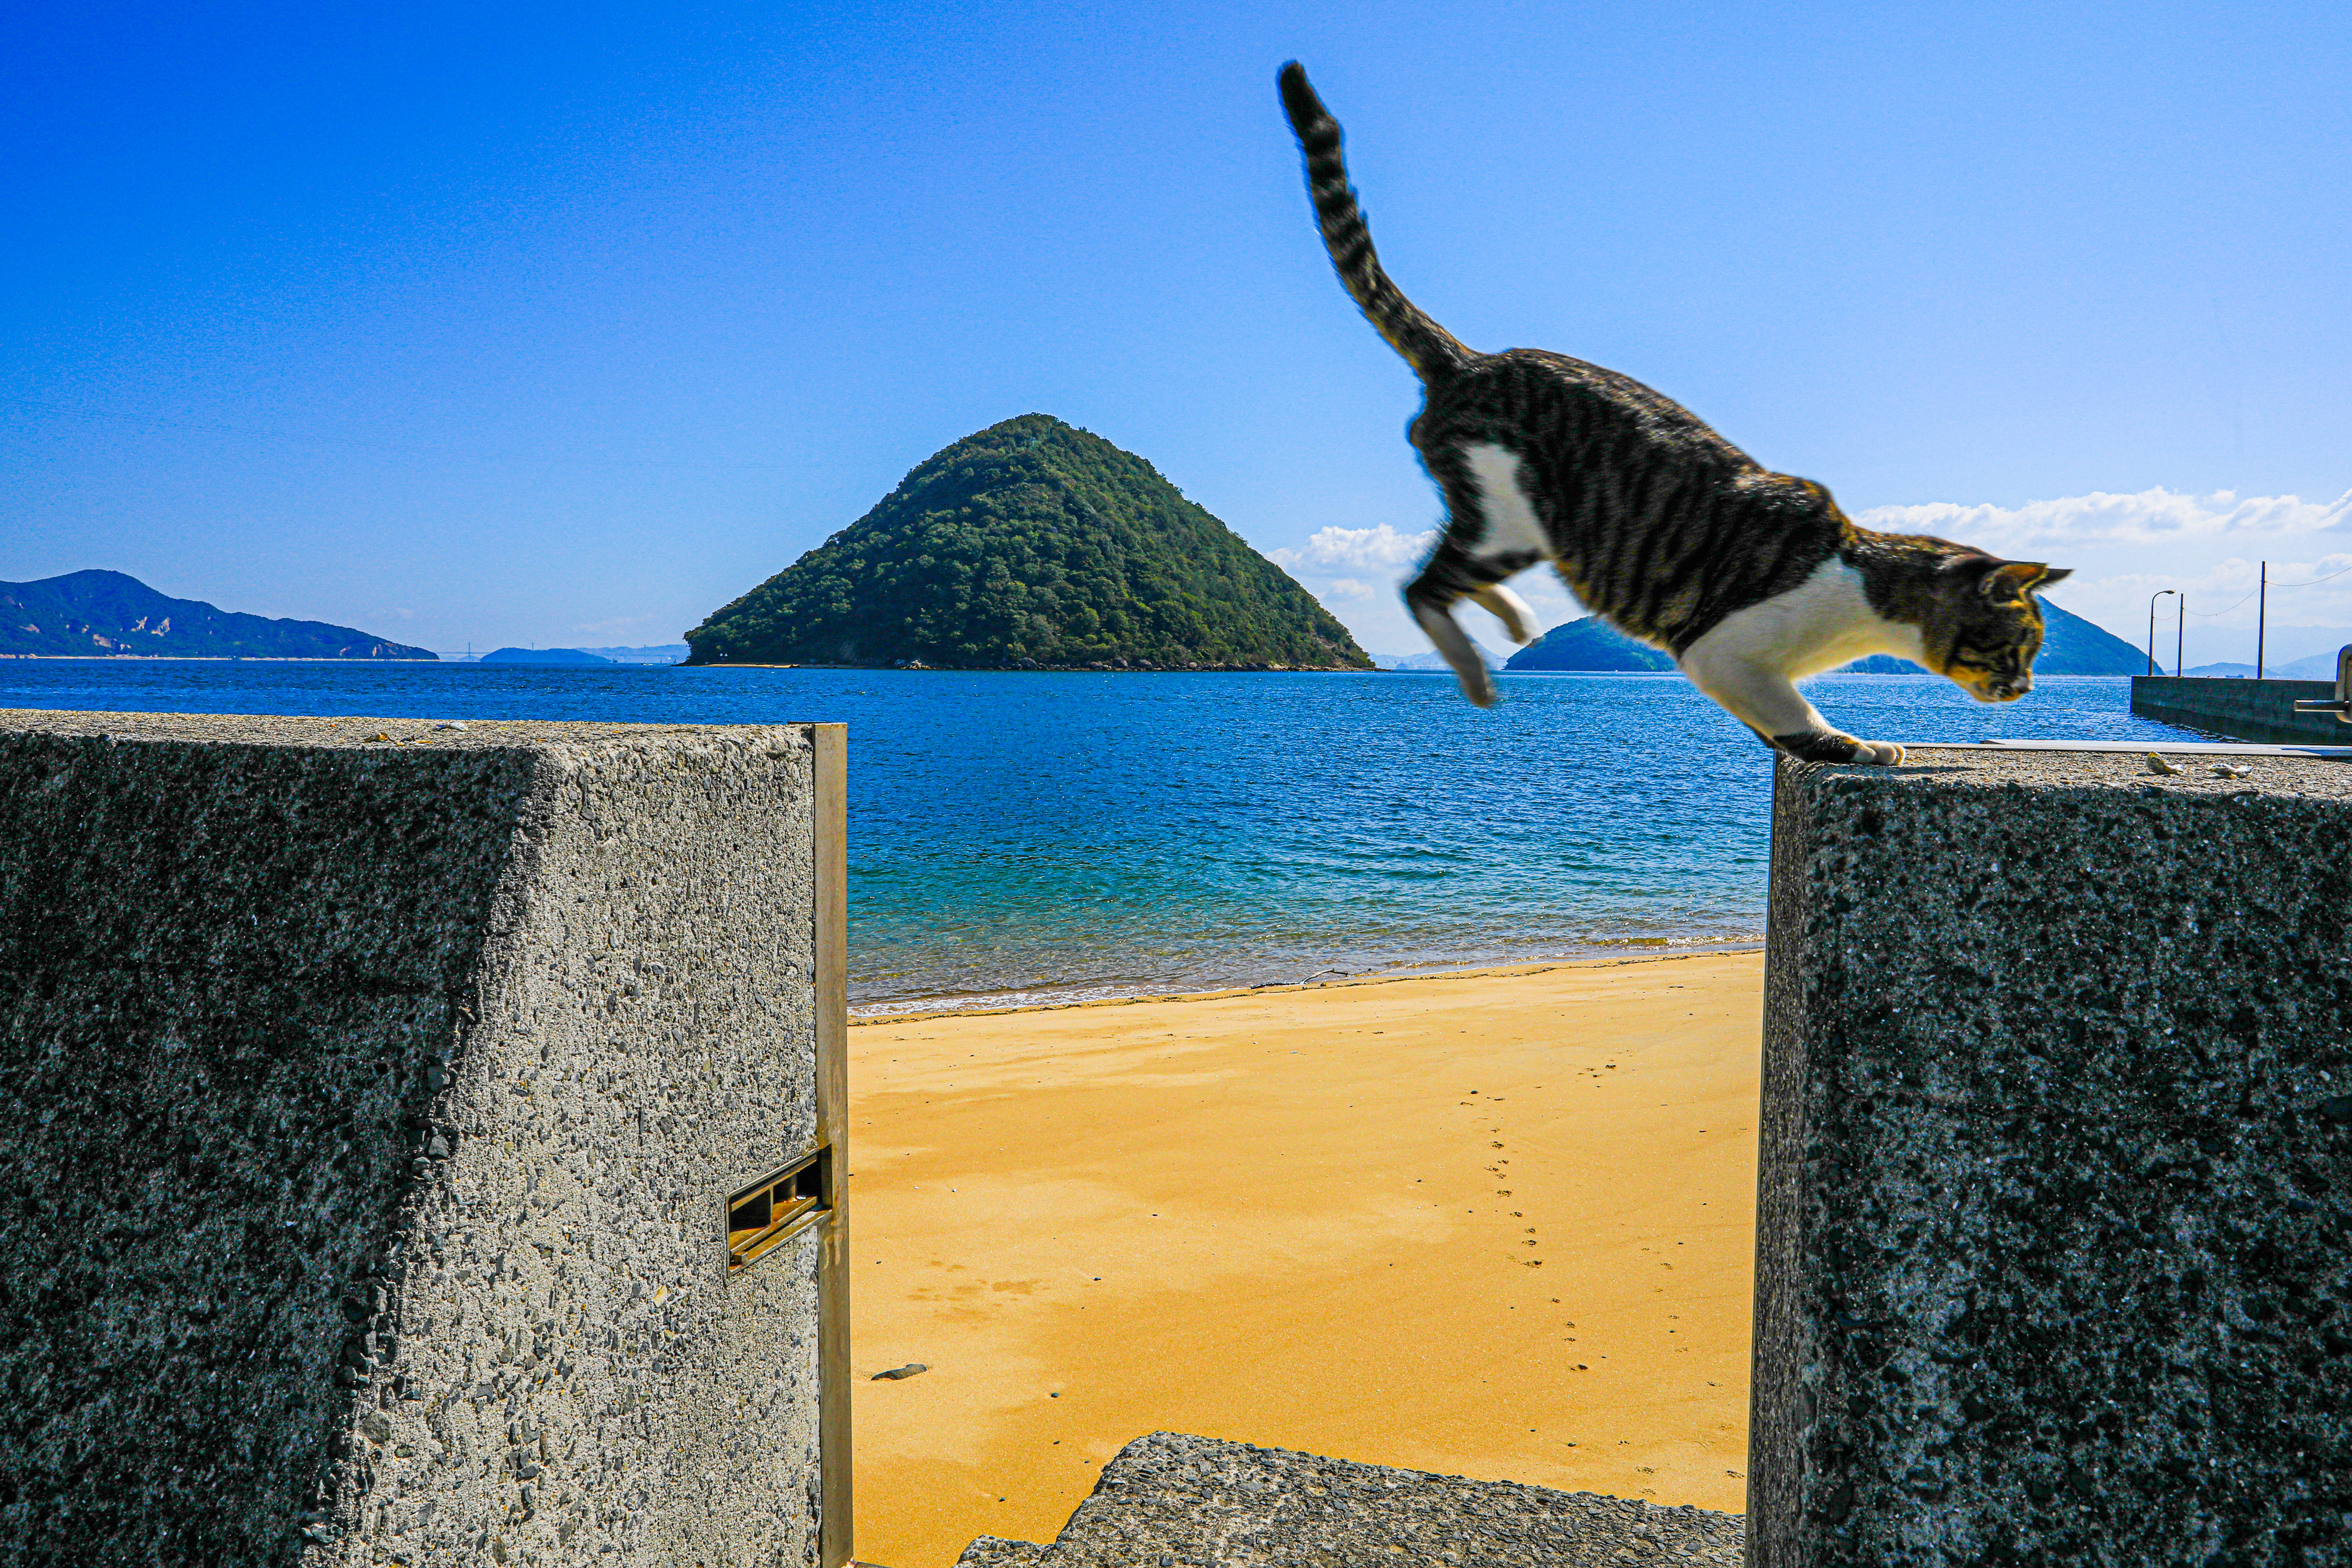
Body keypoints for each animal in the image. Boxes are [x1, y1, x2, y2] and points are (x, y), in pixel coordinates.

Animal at [1279, 64, 2070, 761]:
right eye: (2016, 646)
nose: (2027, 687)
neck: (1867, 604)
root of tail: (1475, 361)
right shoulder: (1720, 650)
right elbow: (1795, 714)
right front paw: (1856, 747)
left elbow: (1779, 719)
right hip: (1502, 505)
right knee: (1421, 589)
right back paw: (1477, 674)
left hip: (1524, 526)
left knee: (1455, 575)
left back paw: (1511, 619)